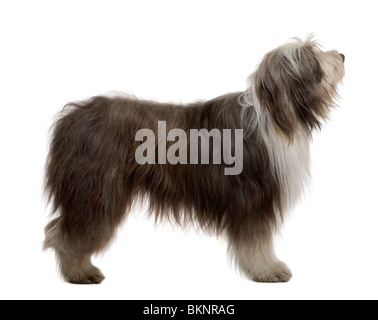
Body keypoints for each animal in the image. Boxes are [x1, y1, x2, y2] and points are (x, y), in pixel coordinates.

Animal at [44, 36, 346, 284]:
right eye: (312, 55)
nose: (342, 56)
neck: (276, 116)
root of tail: (72, 118)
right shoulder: (253, 199)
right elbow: (256, 241)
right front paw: (268, 270)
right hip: (96, 192)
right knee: (66, 233)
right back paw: (80, 271)